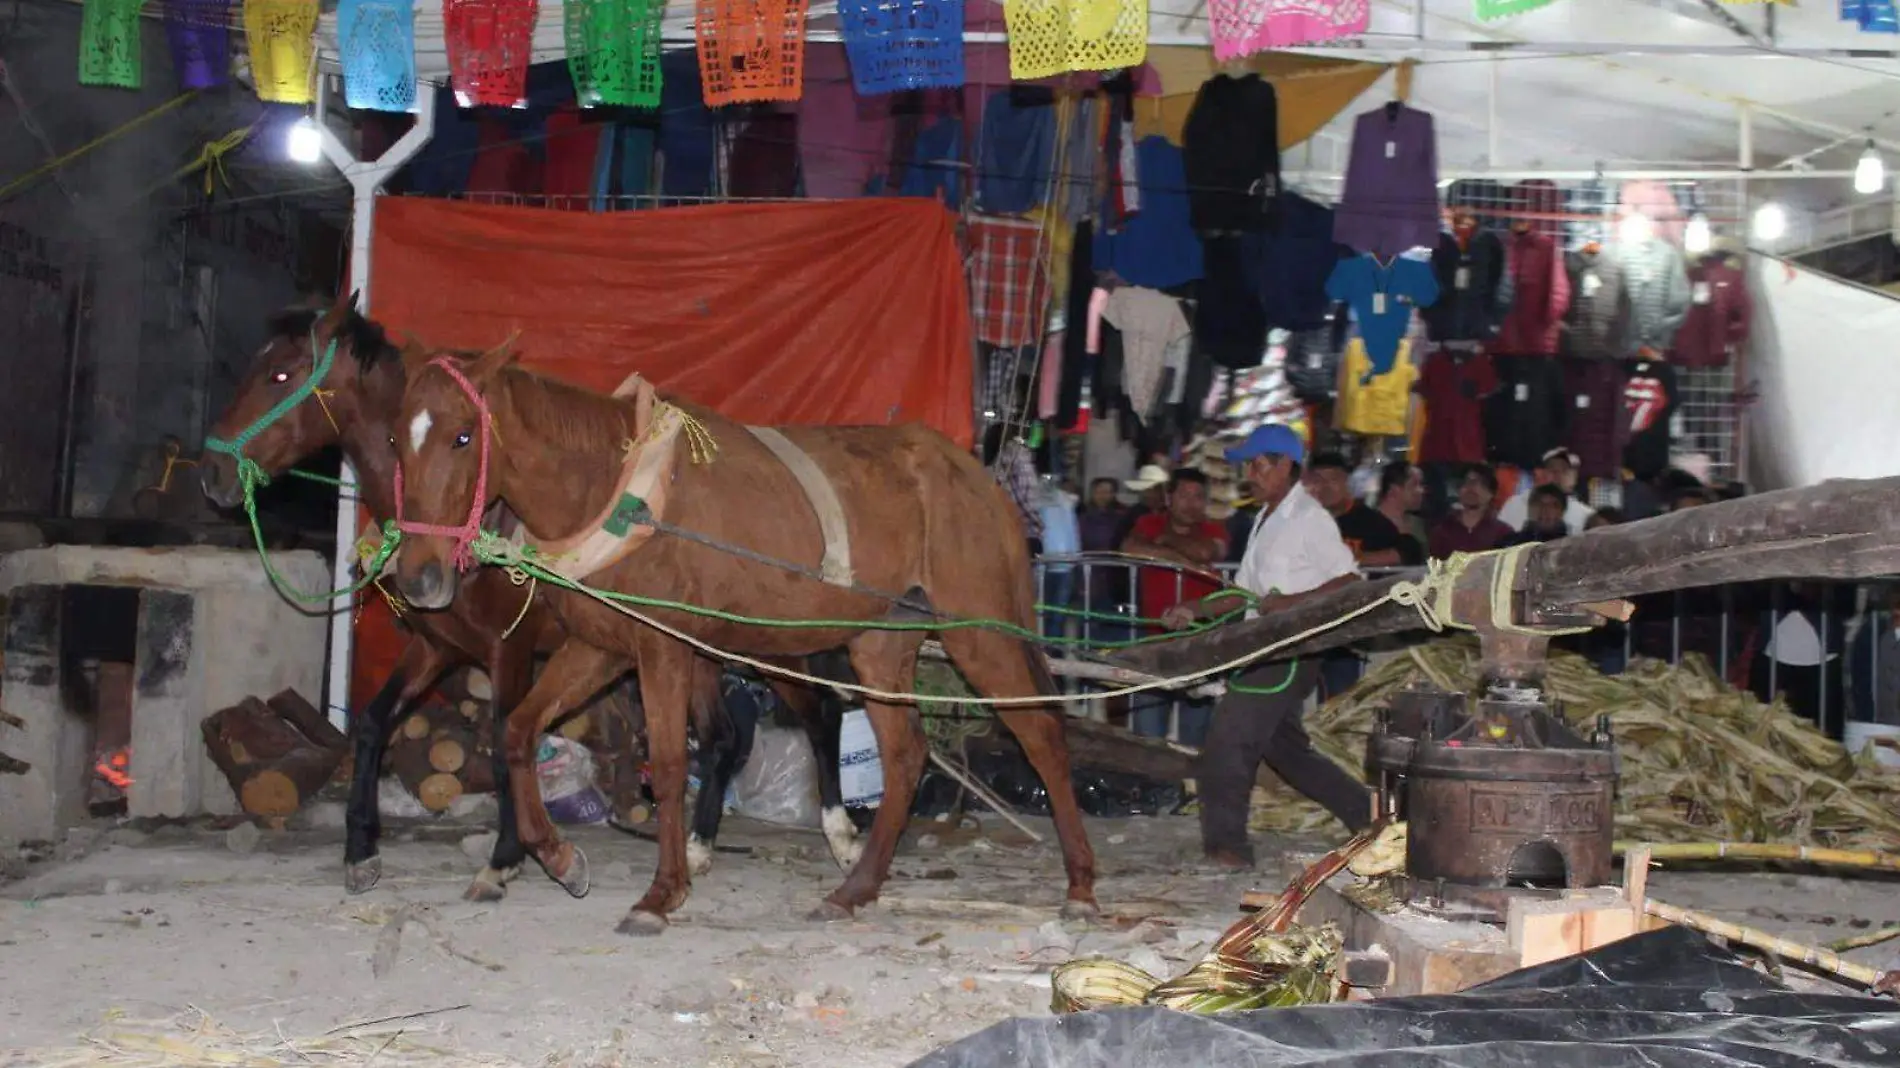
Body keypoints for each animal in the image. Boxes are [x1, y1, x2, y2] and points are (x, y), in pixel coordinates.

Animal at [200, 294, 870, 893]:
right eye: (396, 440)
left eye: (279, 374)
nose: (212, 473)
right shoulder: (438, 647)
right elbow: (370, 725)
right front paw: (361, 850)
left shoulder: (511, 649)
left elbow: (503, 743)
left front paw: (508, 857)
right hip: (696, 651)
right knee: (723, 736)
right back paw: (702, 847)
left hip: (764, 647)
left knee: (820, 714)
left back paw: (842, 837)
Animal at [385, 342, 1102, 931]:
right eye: (396, 441)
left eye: (462, 435)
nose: (418, 577)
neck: (615, 491)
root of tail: (975, 475)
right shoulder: (601, 646)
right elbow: (517, 731)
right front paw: (558, 858)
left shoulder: (663, 648)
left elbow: (671, 765)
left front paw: (661, 893)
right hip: (879, 644)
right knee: (905, 755)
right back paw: (856, 889)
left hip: (977, 631)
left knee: (1040, 733)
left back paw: (1080, 885)